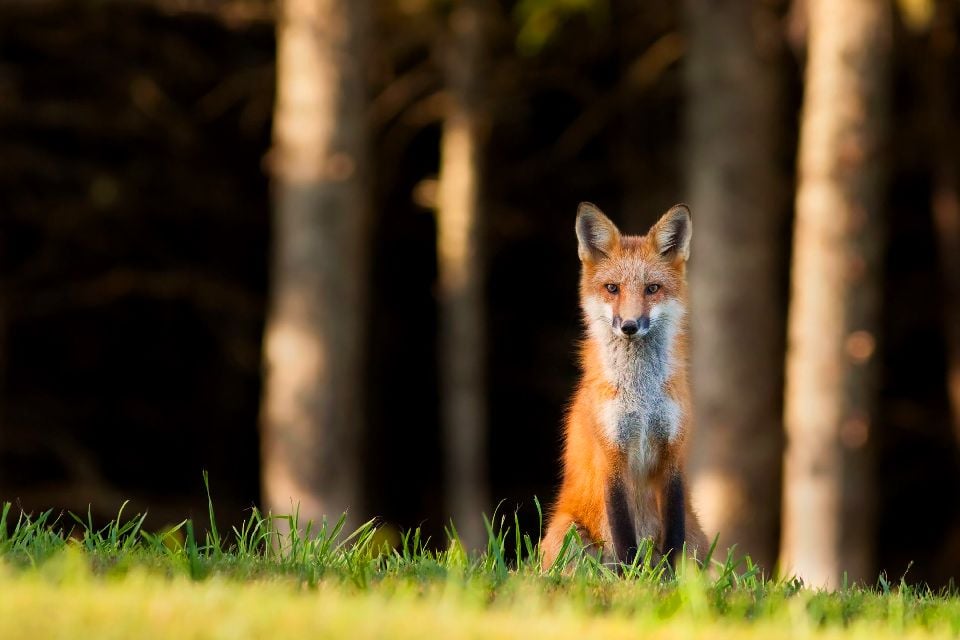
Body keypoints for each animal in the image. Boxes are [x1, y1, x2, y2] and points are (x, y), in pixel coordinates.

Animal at [544, 201, 708, 568]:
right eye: (612, 288)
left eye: (652, 288)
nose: (630, 325)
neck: (642, 398)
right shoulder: (611, 454)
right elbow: (623, 537)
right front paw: (631, 577)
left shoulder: (672, 452)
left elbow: (673, 538)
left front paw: (668, 578)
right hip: (569, 534)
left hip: (699, 541)